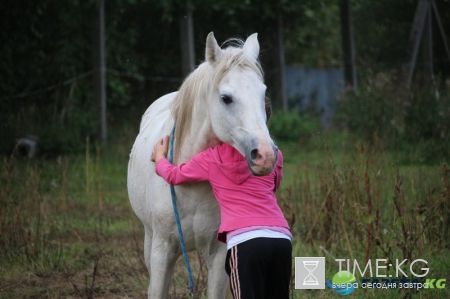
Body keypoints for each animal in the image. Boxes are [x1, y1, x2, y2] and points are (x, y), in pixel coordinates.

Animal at [126, 31, 280, 298]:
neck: (191, 183)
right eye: (226, 98)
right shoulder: (161, 251)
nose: (266, 155)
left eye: (263, 94)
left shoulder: (219, 256)